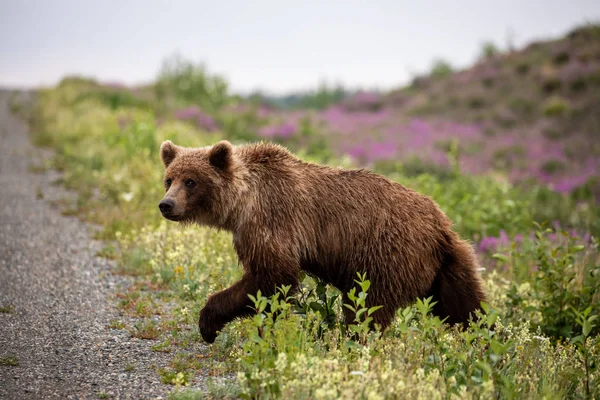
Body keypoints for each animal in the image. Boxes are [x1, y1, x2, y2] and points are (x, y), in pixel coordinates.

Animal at [159, 139, 488, 342]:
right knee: (466, 307)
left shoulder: (272, 218)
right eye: (169, 179)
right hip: (452, 263)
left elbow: (273, 277)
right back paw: (484, 338)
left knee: (367, 307)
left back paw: (355, 342)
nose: (166, 204)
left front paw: (209, 323)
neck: (242, 202)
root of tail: (441, 226)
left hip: (387, 254)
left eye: (191, 181)